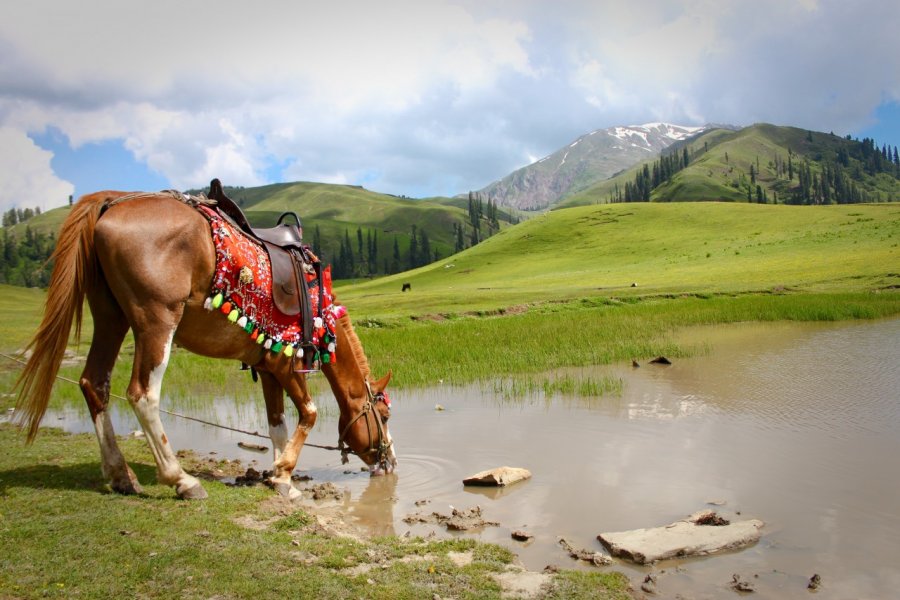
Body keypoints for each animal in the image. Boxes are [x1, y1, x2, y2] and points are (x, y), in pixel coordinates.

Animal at [12, 191, 396, 496]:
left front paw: (279, 476)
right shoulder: (286, 363)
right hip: (157, 322)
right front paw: (284, 473)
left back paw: (122, 476)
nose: (390, 461)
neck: (319, 307)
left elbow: (277, 424)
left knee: (94, 384)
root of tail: (113, 202)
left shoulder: (267, 366)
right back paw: (182, 480)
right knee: (142, 395)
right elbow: (310, 413)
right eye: (385, 415)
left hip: (111, 319)